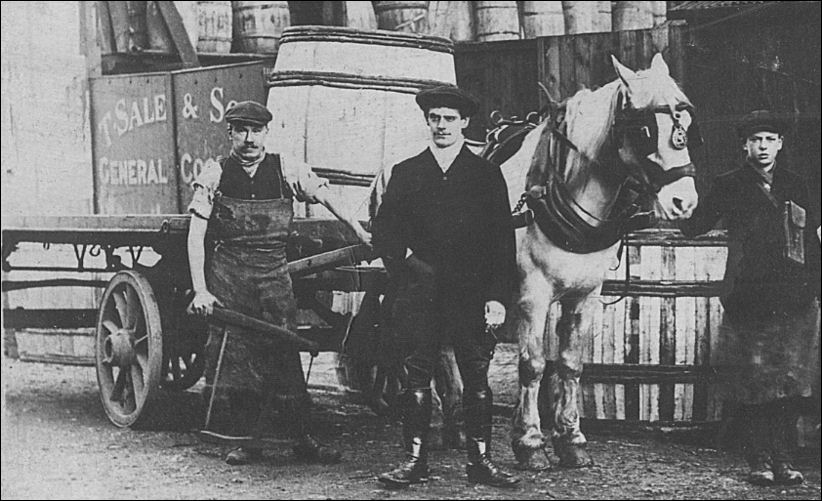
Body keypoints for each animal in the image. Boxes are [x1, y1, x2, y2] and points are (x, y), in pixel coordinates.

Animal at [502, 54, 700, 468]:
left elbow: (570, 364)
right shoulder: (533, 294)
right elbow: (533, 365)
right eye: (644, 130)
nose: (684, 202)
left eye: (687, 125)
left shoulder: (585, 295)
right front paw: (529, 442)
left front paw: (571, 439)